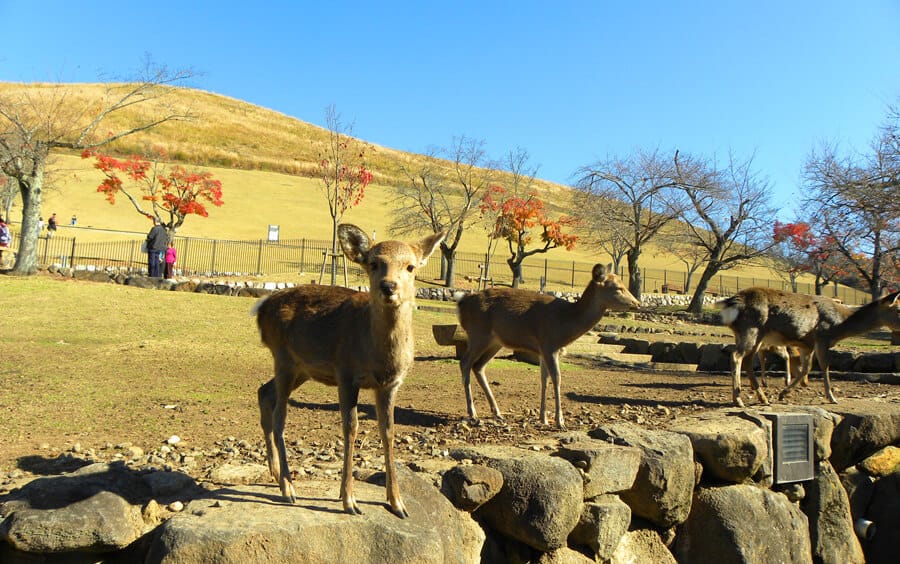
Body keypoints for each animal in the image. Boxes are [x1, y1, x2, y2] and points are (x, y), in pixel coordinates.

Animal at [251, 224, 444, 516]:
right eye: (374, 263)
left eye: (411, 266)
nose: (388, 286)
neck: (378, 357)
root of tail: (260, 309)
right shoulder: (346, 374)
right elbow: (350, 427)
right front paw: (349, 501)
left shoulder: (390, 384)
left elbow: (388, 430)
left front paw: (398, 503)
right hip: (282, 357)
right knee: (279, 415)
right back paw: (288, 488)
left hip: (302, 368)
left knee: (264, 391)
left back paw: (275, 474)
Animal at [458, 264, 640, 428]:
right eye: (618, 288)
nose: (637, 303)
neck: (566, 323)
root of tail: (461, 303)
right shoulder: (549, 344)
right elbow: (557, 378)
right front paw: (560, 422)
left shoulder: (543, 350)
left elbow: (544, 379)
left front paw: (543, 418)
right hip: (478, 334)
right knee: (465, 362)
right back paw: (473, 413)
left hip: (495, 342)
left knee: (478, 366)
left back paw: (497, 412)